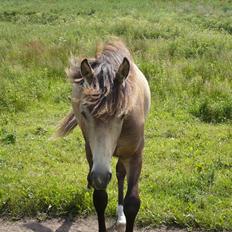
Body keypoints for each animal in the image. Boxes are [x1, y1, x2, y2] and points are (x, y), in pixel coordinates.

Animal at [55, 39, 151, 231]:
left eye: (122, 114)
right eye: (84, 113)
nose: (99, 177)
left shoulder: (135, 155)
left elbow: (132, 203)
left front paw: (124, 213)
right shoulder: (94, 155)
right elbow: (100, 200)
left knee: (120, 173)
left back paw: (120, 216)